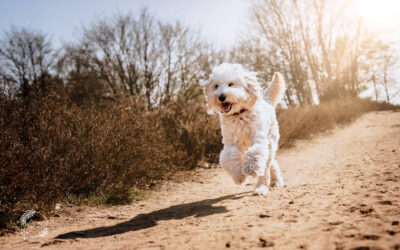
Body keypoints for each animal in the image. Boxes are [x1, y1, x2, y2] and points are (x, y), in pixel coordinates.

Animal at [205, 63, 286, 195]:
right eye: (216, 86)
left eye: (231, 84)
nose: (221, 97)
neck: (239, 115)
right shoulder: (231, 143)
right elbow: (229, 157)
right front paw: (239, 176)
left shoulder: (259, 139)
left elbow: (255, 153)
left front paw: (250, 168)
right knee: (271, 163)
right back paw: (274, 181)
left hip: (270, 142)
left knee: (265, 169)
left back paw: (261, 187)